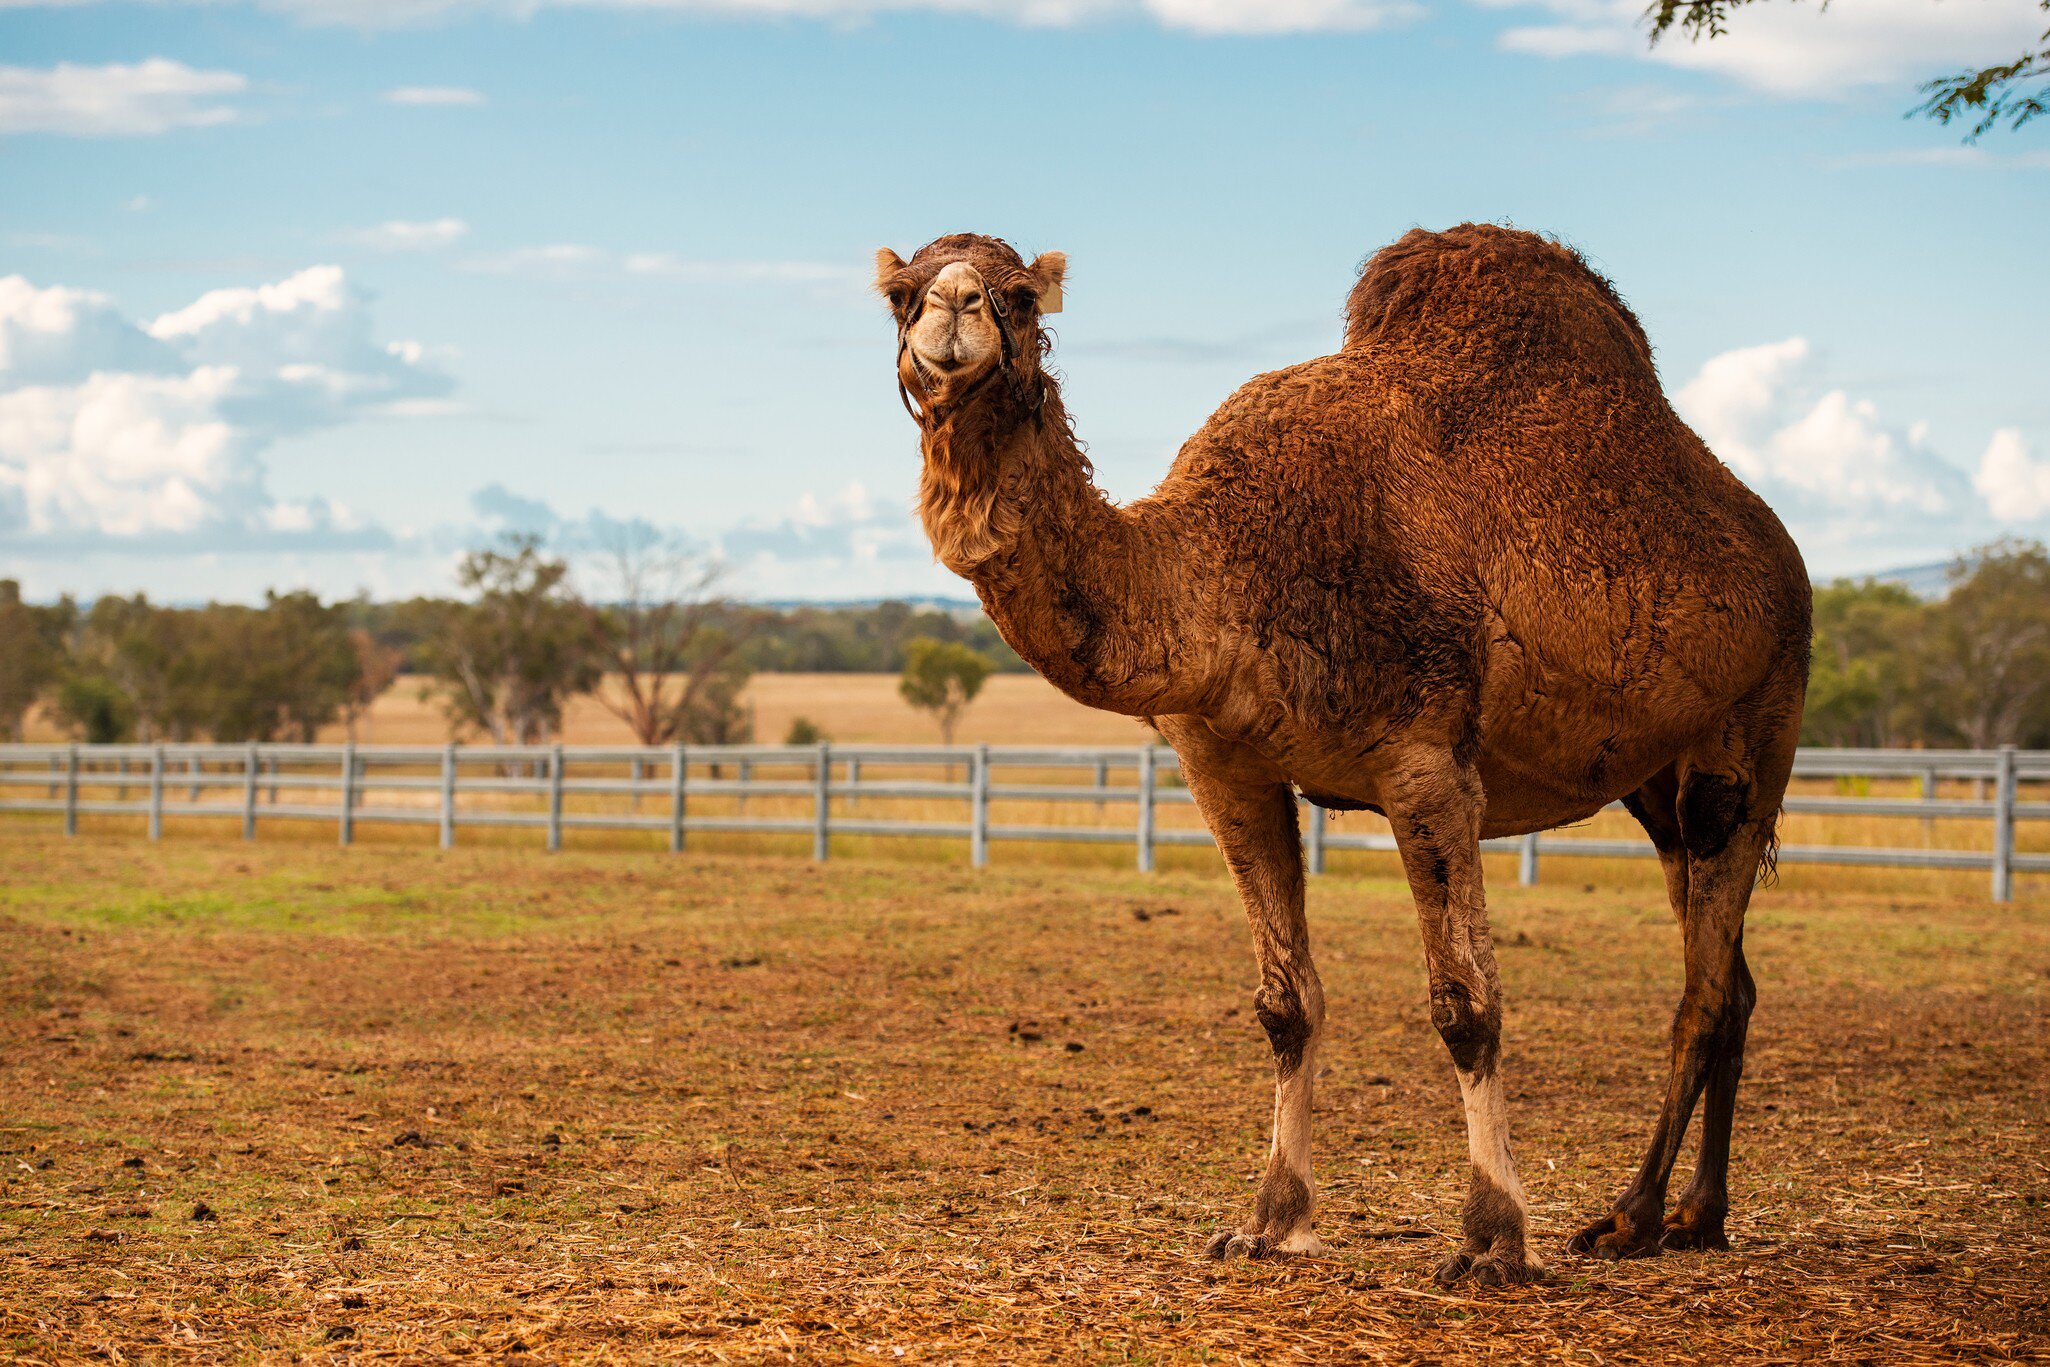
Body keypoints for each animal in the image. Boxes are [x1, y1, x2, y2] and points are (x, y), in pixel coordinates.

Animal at [872, 225, 1811, 1287]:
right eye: (901, 294)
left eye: (1021, 296)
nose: (955, 313)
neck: (1222, 563)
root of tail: (1782, 553)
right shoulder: (1224, 765)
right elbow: (1286, 1003)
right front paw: (1268, 1220)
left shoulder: (1426, 758)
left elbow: (1466, 1005)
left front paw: (1492, 1237)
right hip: (1656, 781)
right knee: (1731, 975)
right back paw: (1699, 1213)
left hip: (1757, 724)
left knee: (1703, 985)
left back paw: (1633, 1215)